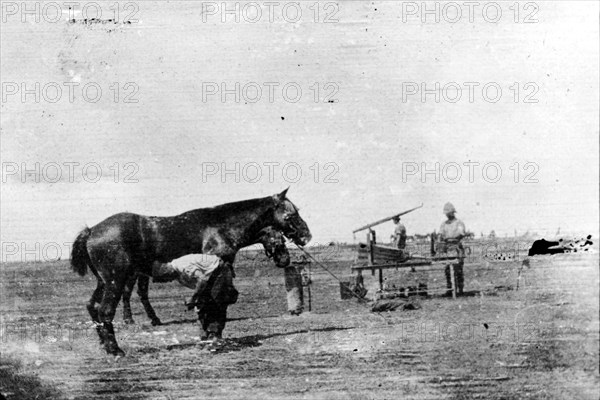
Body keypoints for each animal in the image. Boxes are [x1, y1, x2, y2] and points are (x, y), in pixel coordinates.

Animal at [120, 225, 290, 324]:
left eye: (283, 238)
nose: (285, 260)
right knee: (132, 292)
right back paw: (135, 319)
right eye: (277, 240)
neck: (226, 235)